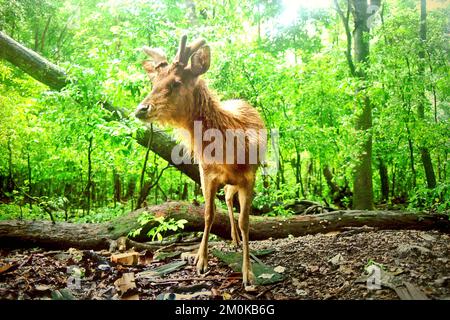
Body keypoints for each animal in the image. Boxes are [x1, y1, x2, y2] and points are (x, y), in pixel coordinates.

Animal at [134, 35, 268, 288]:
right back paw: (232, 239)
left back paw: (237, 240)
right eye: (153, 82)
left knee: (230, 199)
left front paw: (248, 274)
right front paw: (200, 261)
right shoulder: (206, 173)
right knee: (227, 199)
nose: (141, 109)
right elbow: (208, 214)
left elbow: (246, 222)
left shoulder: (250, 177)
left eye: (176, 83)